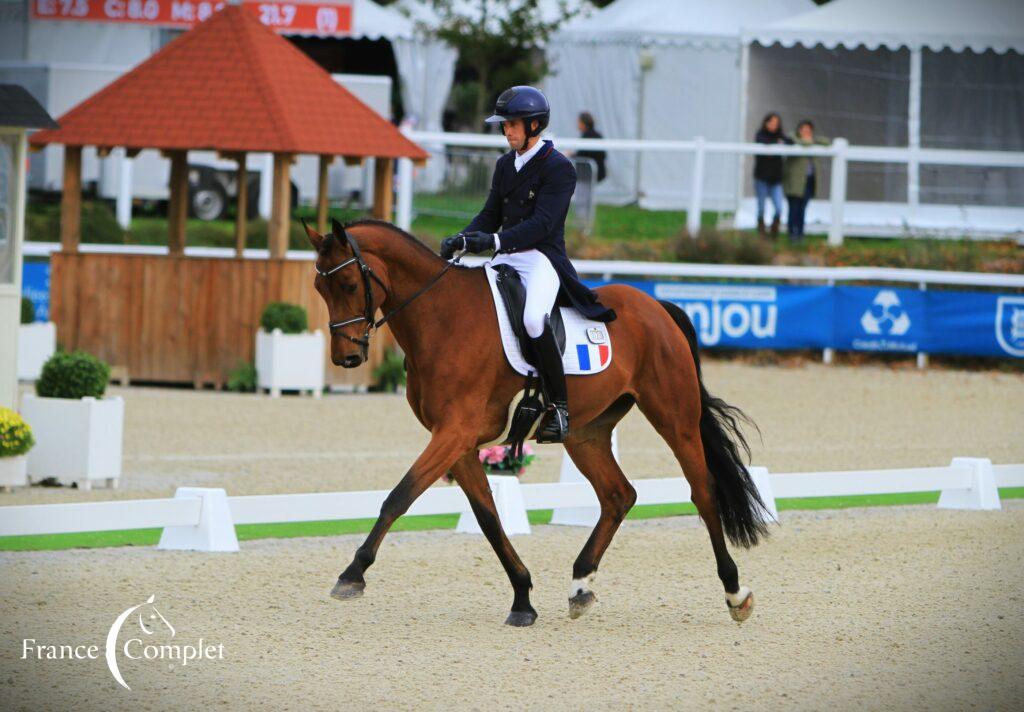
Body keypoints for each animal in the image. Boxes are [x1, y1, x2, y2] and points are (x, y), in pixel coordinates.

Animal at [303, 220, 770, 626]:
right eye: (319, 287)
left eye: (348, 284)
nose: (347, 358)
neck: (441, 318)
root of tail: (657, 306)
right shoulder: (460, 441)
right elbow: (488, 517)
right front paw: (522, 599)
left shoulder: (453, 432)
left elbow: (398, 497)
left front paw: (351, 574)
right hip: (586, 433)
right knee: (619, 495)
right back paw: (580, 585)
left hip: (675, 418)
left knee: (703, 491)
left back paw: (735, 593)